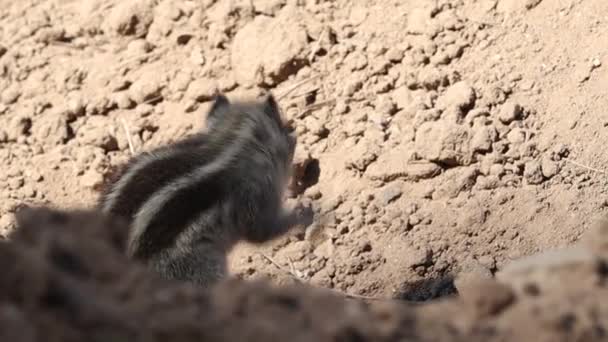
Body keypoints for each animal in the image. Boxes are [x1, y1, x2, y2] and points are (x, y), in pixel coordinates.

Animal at [99, 93, 314, 286]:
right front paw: (304, 212)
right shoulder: (254, 192)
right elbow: (261, 232)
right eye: (287, 130)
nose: (294, 135)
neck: (229, 143)